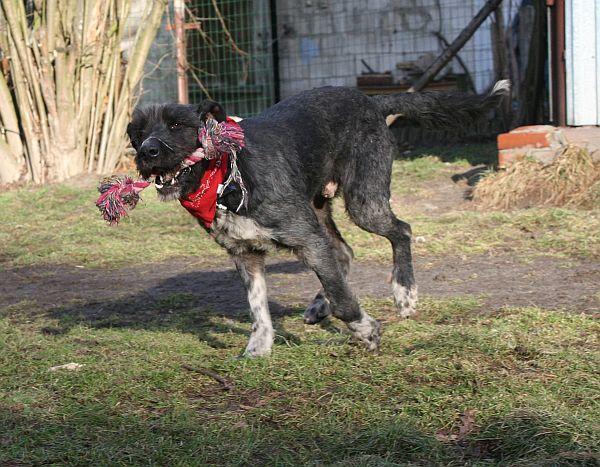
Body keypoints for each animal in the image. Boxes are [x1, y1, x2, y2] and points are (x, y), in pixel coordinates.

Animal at [127, 81, 509, 356]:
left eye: (178, 125)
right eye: (138, 132)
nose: (147, 152)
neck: (226, 178)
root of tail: (371, 102)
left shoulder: (306, 238)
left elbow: (344, 300)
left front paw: (367, 332)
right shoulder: (246, 254)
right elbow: (257, 308)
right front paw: (258, 349)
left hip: (363, 201)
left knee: (401, 231)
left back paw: (404, 293)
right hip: (319, 208)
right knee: (343, 252)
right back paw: (319, 305)